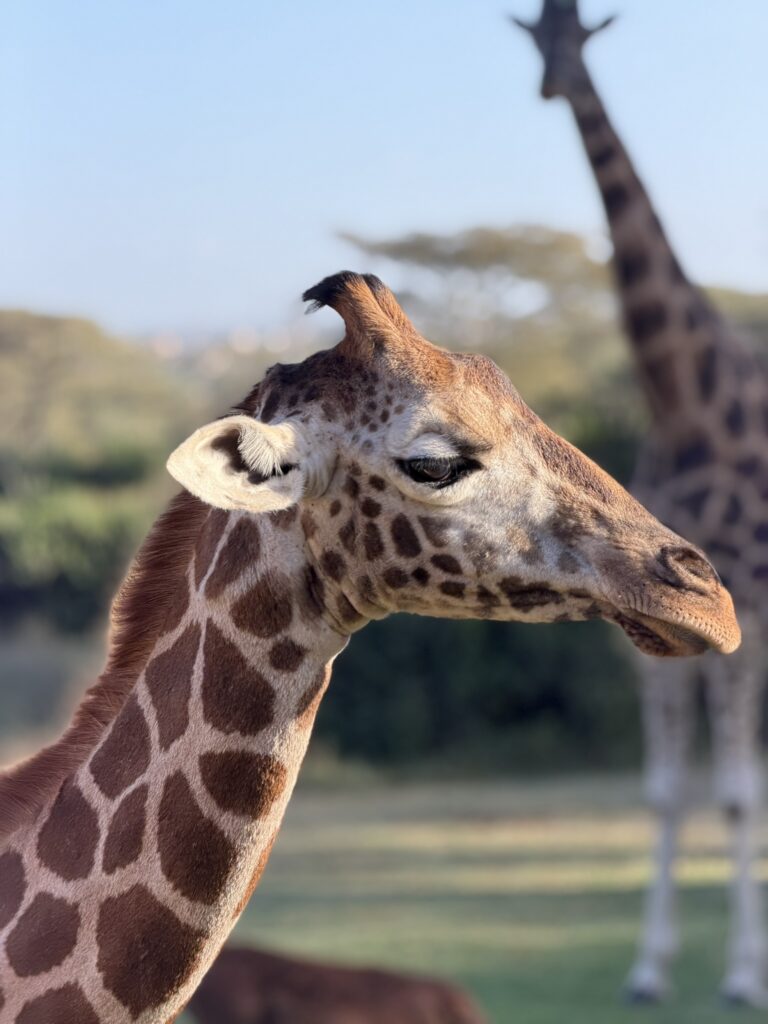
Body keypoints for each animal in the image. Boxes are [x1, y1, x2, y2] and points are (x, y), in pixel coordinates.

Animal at [513, 0, 768, 1005]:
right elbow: (666, 792)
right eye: (534, 34)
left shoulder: (743, 603)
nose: (554, 83)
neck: (681, 396)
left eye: (579, 31)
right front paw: (650, 967)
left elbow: (734, 794)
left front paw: (739, 976)